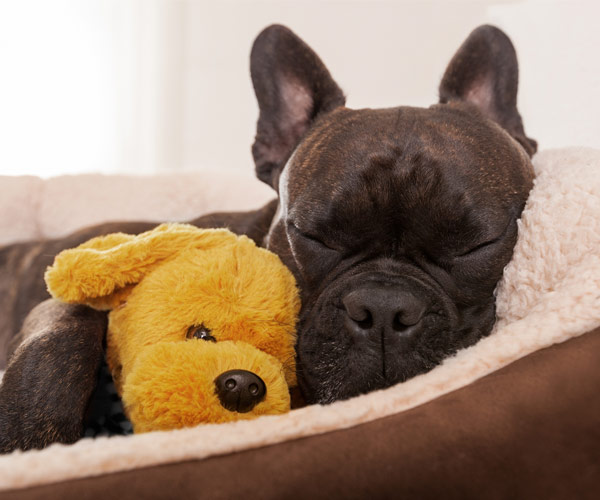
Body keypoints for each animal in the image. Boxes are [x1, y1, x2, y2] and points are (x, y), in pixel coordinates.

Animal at [0, 24, 536, 454]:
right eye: (312, 236)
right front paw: (28, 440)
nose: (384, 310)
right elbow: (62, 336)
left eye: (475, 245)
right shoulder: (65, 297)